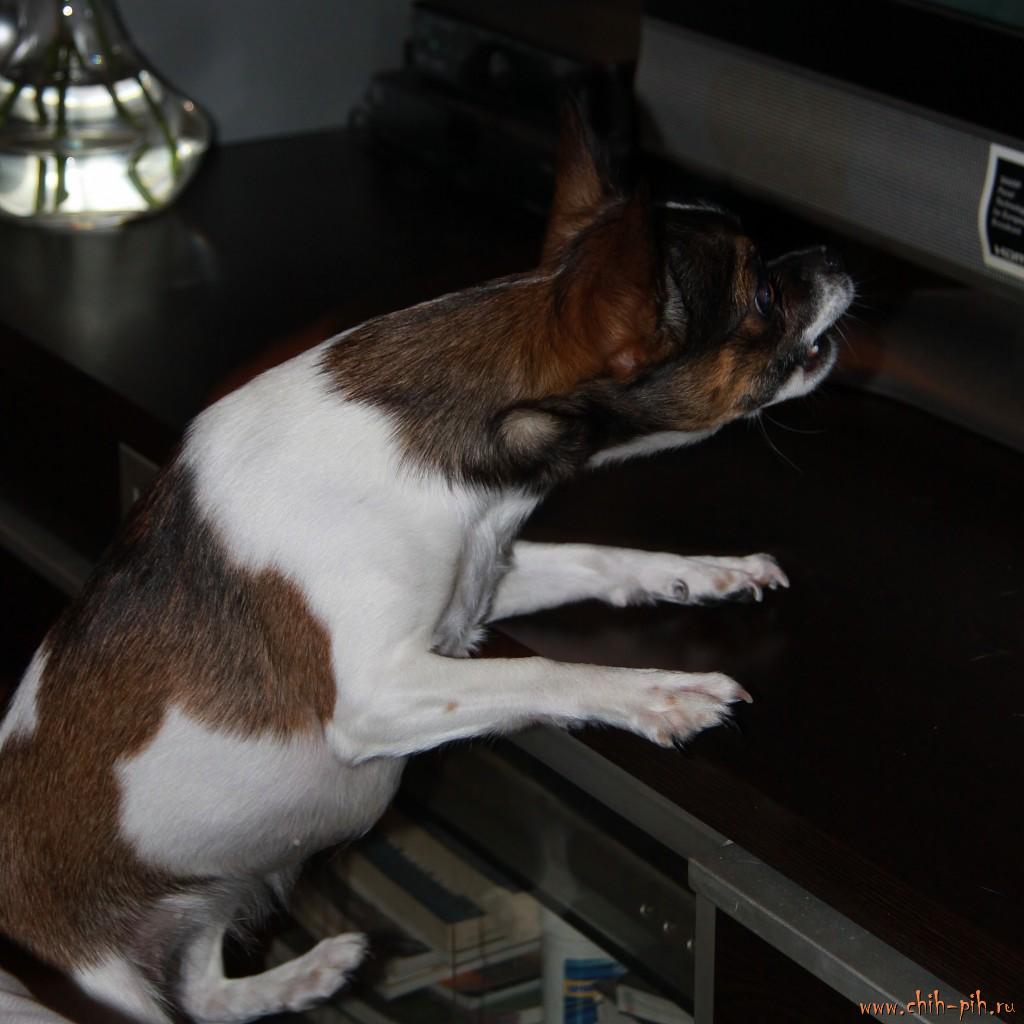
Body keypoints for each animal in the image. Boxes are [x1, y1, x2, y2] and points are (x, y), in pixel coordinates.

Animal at [0, 111, 853, 1022]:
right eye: (762, 294)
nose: (836, 257)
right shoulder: (381, 689)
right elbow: (543, 673)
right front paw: (662, 694)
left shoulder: (481, 583)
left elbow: (602, 558)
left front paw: (708, 572)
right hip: (99, 984)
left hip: (205, 901)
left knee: (207, 992)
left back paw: (312, 972)